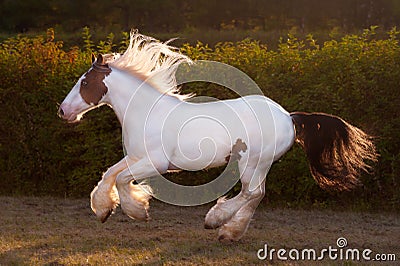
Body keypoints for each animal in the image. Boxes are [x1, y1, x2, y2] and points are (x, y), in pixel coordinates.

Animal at [57, 31, 376, 241]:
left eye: (84, 82)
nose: (62, 111)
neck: (147, 112)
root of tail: (289, 117)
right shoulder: (136, 156)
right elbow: (110, 173)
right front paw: (103, 209)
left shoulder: (156, 163)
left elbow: (122, 179)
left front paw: (138, 211)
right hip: (259, 165)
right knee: (257, 194)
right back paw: (229, 231)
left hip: (253, 161)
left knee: (252, 193)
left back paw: (216, 223)